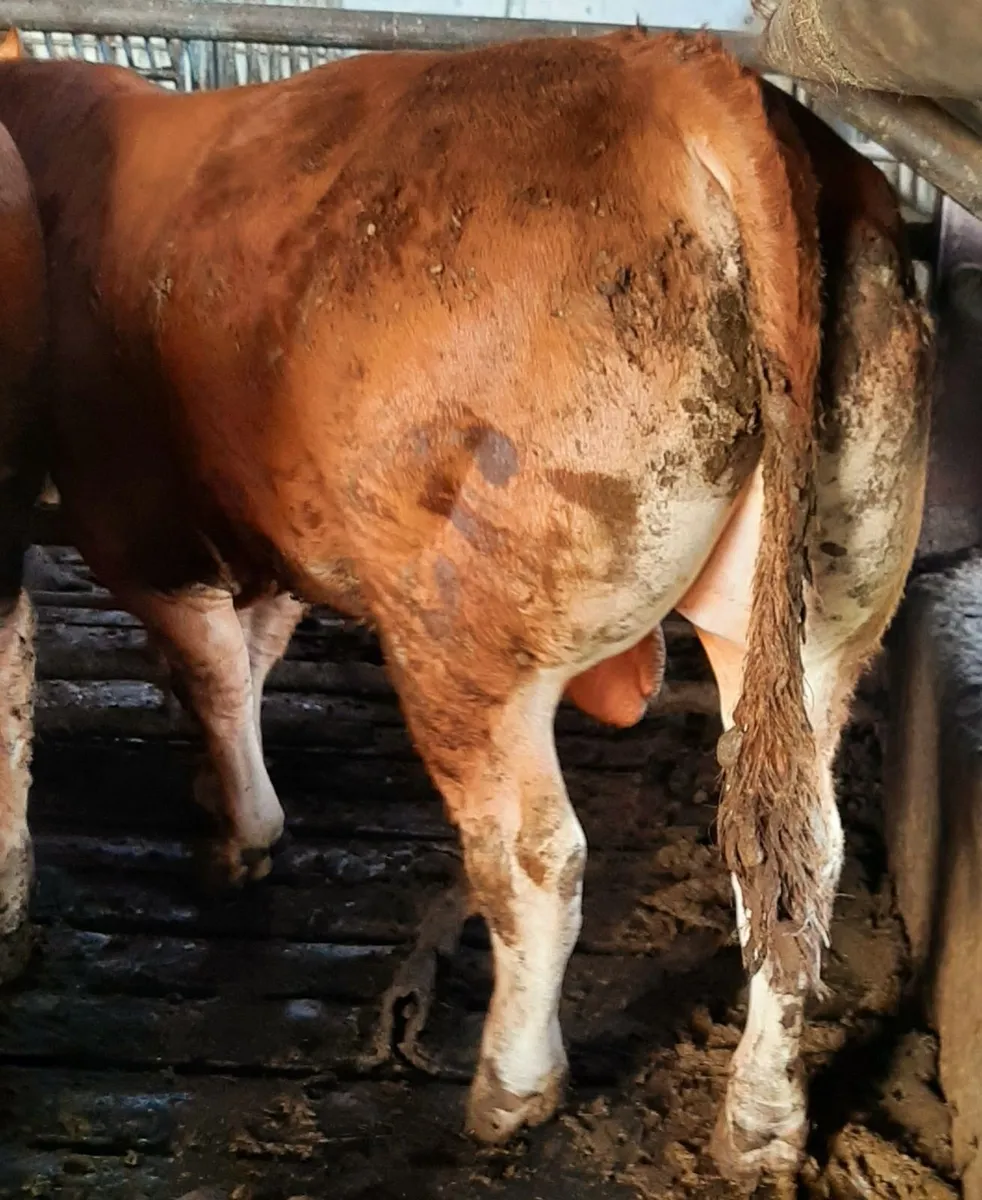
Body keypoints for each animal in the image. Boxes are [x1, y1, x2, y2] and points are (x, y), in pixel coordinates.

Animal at [0, 28, 931, 1184]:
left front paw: (241, 833)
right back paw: (762, 1125)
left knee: (536, 858)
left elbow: (211, 672)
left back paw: (511, 1089)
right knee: (798, 853)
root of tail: (689, 74)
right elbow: (255, 657)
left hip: (466, 630)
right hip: (829, 604)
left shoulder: (136, 524)